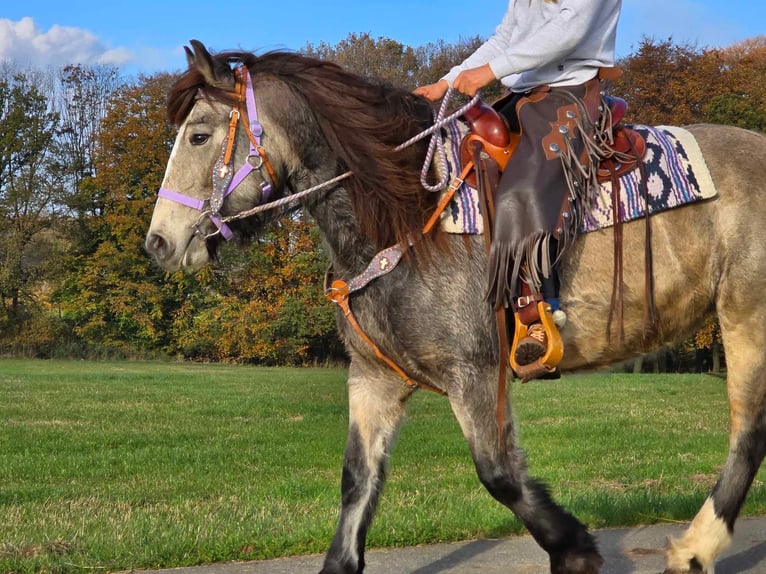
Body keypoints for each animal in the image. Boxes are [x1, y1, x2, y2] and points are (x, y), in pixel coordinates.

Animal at [146, 38, 766, 572]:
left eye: (198, 135)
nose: (159, 243)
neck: (405, 214)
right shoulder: (374, 379)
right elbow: (355, 486)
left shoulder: (475, 373)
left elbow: (500, 475)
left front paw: (575, 551)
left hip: (746, 317)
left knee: (748, 430)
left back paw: (695, 549)